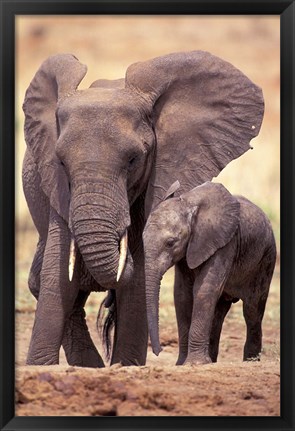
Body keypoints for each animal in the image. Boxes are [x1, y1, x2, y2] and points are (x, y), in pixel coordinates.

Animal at [22, 50, 264, 368]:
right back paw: (90, 365)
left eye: (134, 159)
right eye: (60, 161)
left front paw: (126, 365)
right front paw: (39, 366)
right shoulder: (58, 190)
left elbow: (135, 285)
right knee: (43, 282)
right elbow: (58, 273)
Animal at [143, 181, 278, 366]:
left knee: (252, 309)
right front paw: (182, 364)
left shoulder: (226, 243)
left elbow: (204, 290)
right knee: (219, 313)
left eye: (171, 243)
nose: (158, 351)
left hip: (266, 260)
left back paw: (250, 362)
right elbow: (182, 295)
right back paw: (212, 361)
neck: (189, 202)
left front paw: (194, 364)